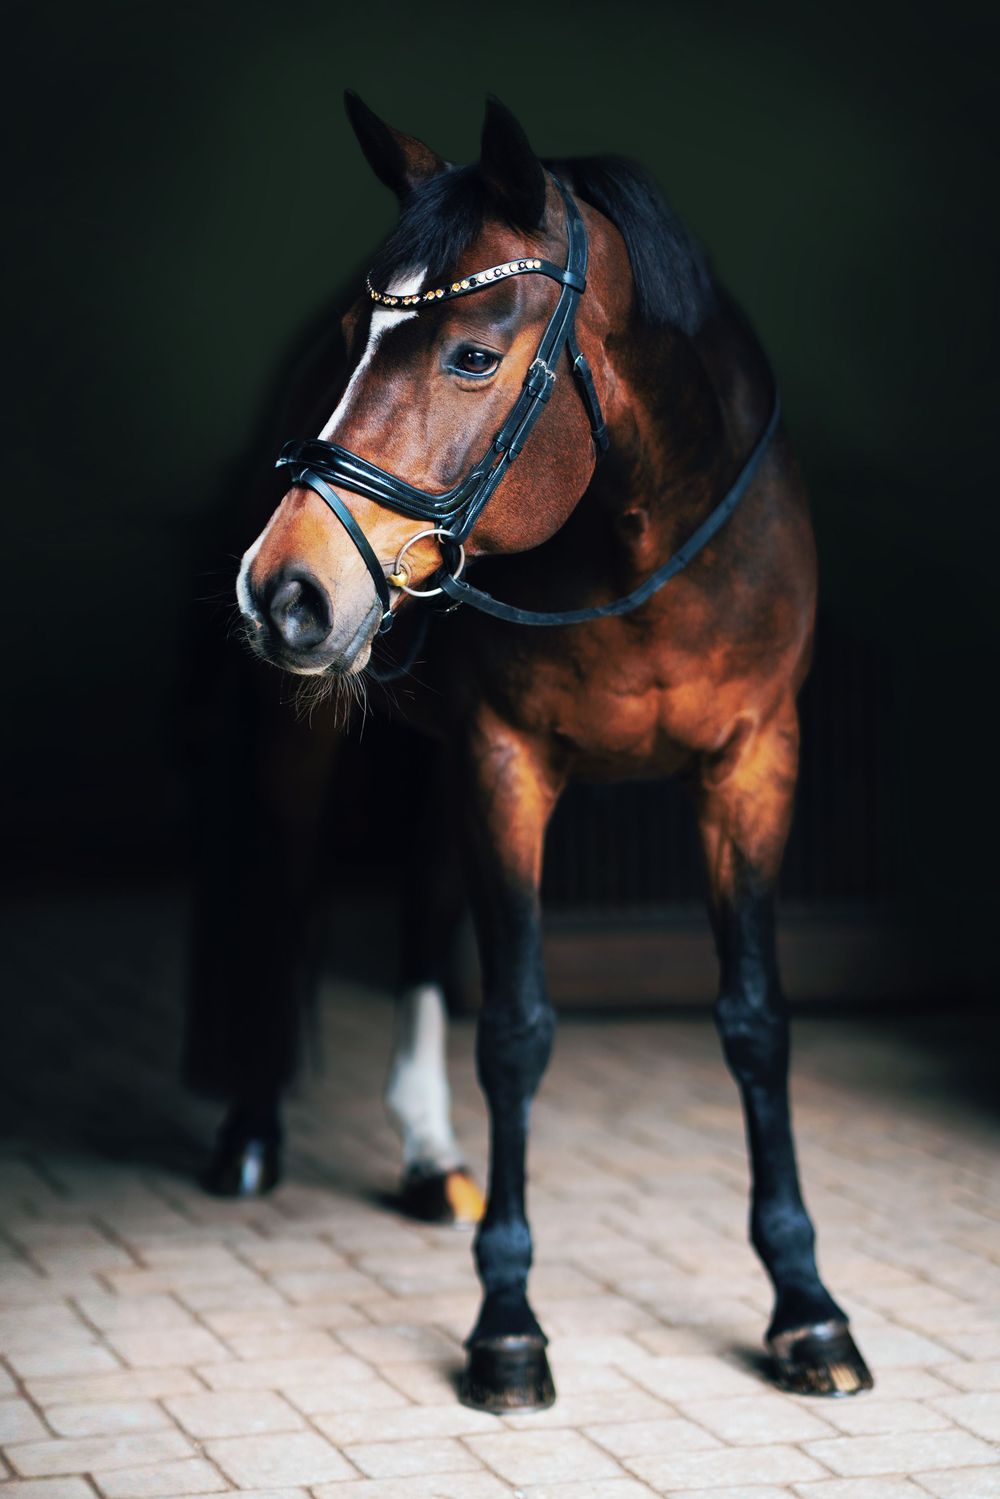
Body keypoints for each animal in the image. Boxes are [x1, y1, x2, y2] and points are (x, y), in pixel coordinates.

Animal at [230, 90, 874, 1412]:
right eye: (354, 336)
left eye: (472, 354)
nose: (282, 590)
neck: (643, 535)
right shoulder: (506, 764)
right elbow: (517, 1029)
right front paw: (508, 1322)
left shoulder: (752, 765)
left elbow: (756, 1019)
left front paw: (805, 1305)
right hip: (305, 735)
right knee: (287, 876)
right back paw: (252, 1135)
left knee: (422, 909)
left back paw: (428, 1156)